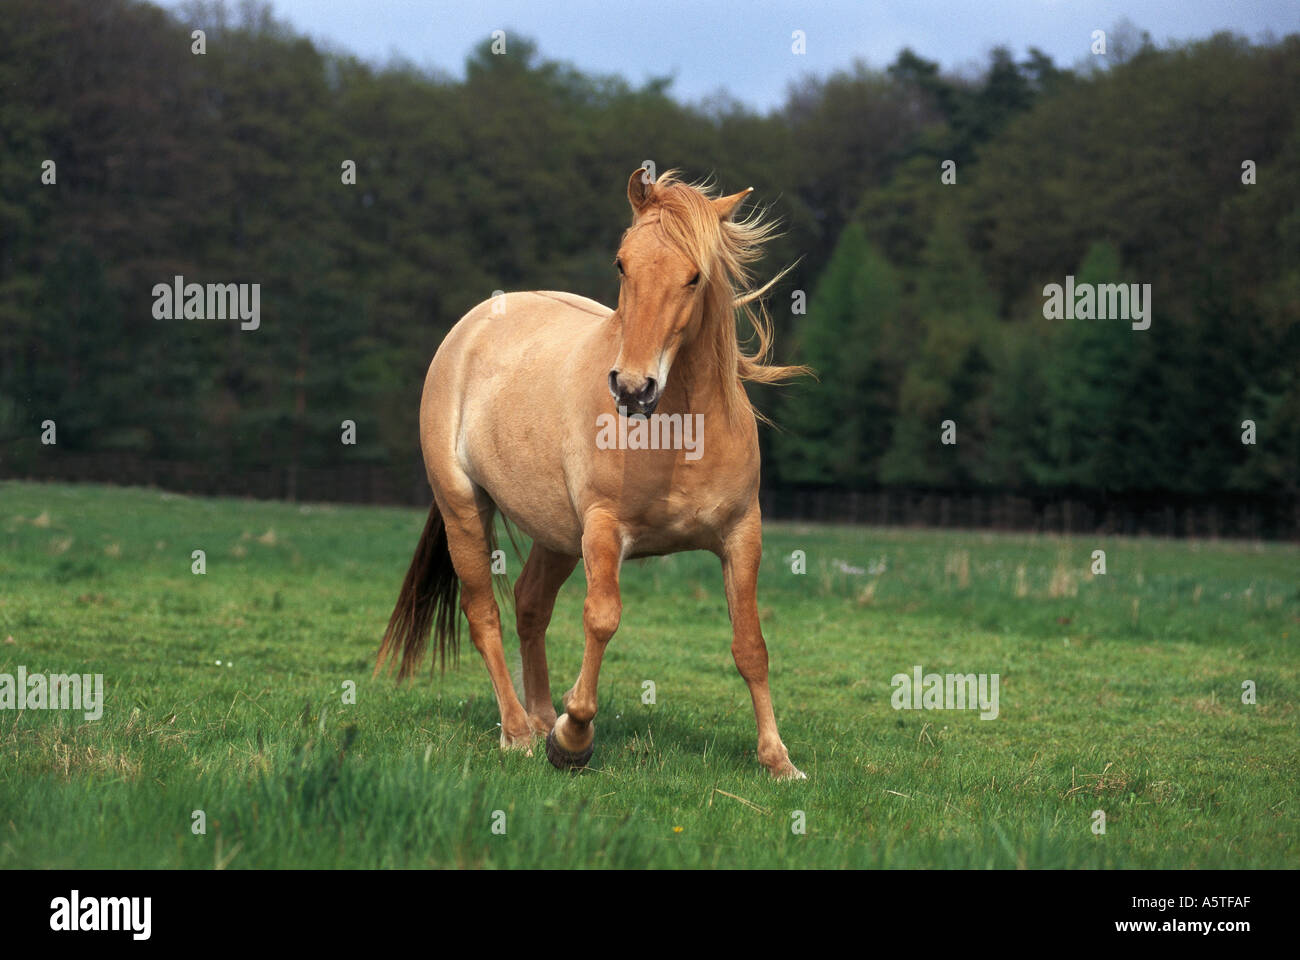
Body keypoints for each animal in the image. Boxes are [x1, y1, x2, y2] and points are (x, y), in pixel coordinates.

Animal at [375, 167, 808, 779]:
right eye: (622, 264)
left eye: (695, 276)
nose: (632, 388)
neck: (680, 433)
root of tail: (471, 328)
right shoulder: (604, 529)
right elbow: (602, 619)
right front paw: (572, 736)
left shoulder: (741, 533)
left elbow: (751, 644)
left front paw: (777, 760)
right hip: (466, 509)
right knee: (484, 614)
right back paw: (520, 732)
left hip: (557, 534)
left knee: (530, 604)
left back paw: (538, 717)